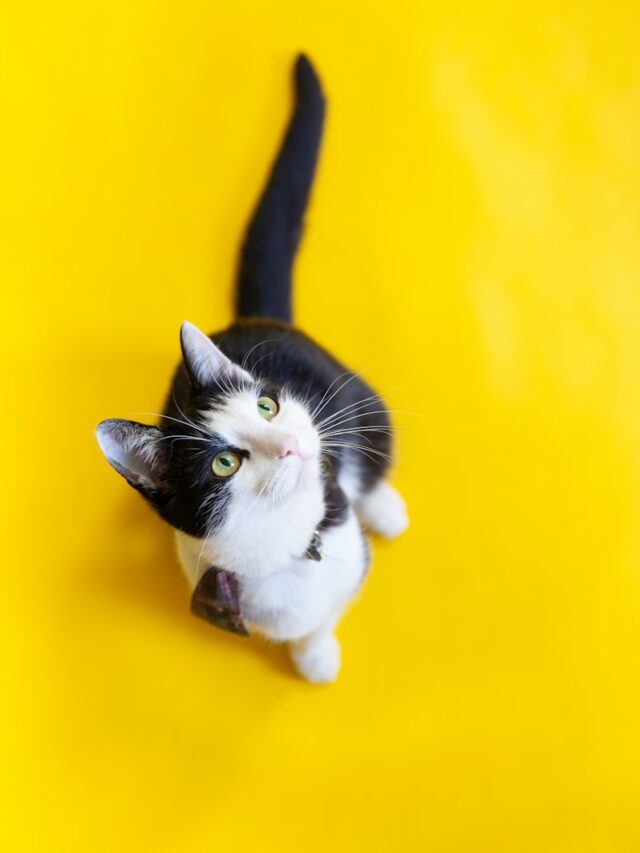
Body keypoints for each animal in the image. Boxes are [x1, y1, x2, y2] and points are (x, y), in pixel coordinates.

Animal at [97, 53, 408, 684]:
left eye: (267, 405)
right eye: (224, 463)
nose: (288, 444)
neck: (290, 545)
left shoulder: (344, 539)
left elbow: (333, 601)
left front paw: (317, 652)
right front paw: (311, 650)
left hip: (359, 397)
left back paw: (386, 508)